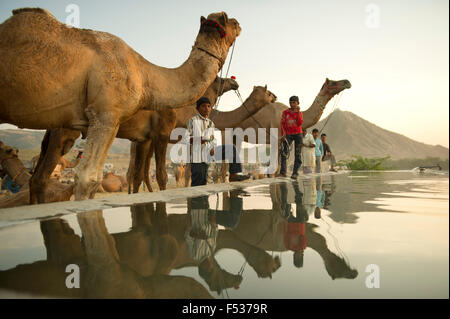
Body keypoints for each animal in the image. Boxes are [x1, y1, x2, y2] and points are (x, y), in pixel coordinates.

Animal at [0, 8, 243, 200]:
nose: (235, 82)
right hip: (64, 128)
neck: (146, 76)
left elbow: (137, 175)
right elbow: (98, 178)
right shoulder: (115, 117)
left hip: (56, 128)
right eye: (229, 20)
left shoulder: (142, 137)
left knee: (38, 178)